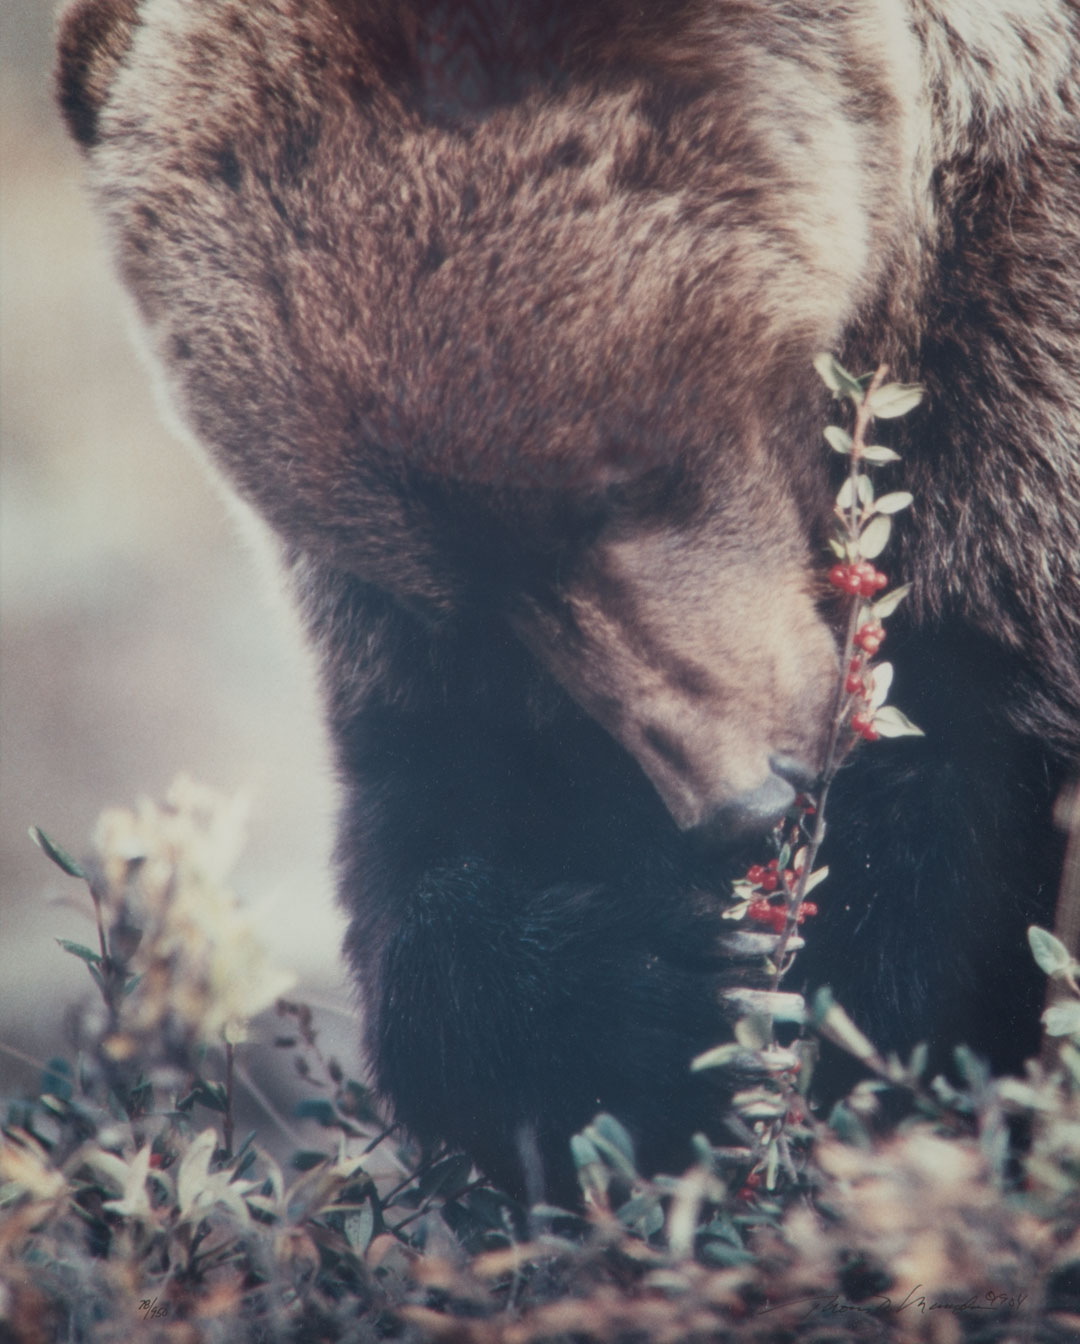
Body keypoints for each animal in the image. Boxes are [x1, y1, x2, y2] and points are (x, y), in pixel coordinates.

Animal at [57, 0, 1080, 1198]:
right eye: (460, 595)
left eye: (616, 487)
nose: (740, 798)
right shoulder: (410, 654)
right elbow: (433, 847)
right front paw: (660, 992)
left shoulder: (1015, 379)